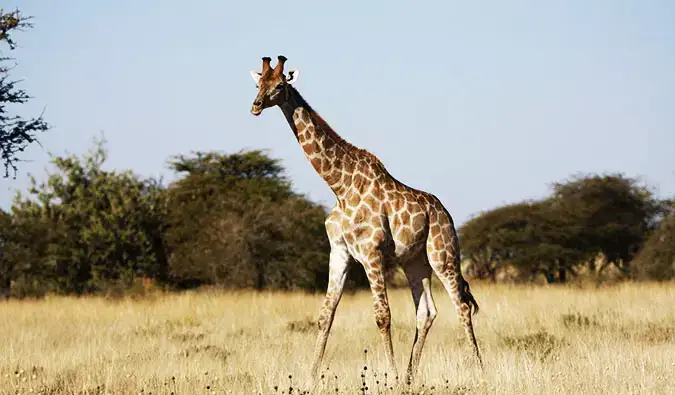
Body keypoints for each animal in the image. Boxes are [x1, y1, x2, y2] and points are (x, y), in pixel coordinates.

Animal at [251, 55, 484, 386]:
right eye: (258, 83)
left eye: (280, 85)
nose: (256, 105)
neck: (339, 186)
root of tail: (445, 213)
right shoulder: (339, 252)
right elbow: (325, 315)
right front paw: (311, 377)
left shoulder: (371, 253)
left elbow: (382, 316)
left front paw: (391, 376)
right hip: (415, 262)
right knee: (426, 312)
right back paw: (411, 377)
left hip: (443, 254)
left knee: (462, 305)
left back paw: (479, 372)